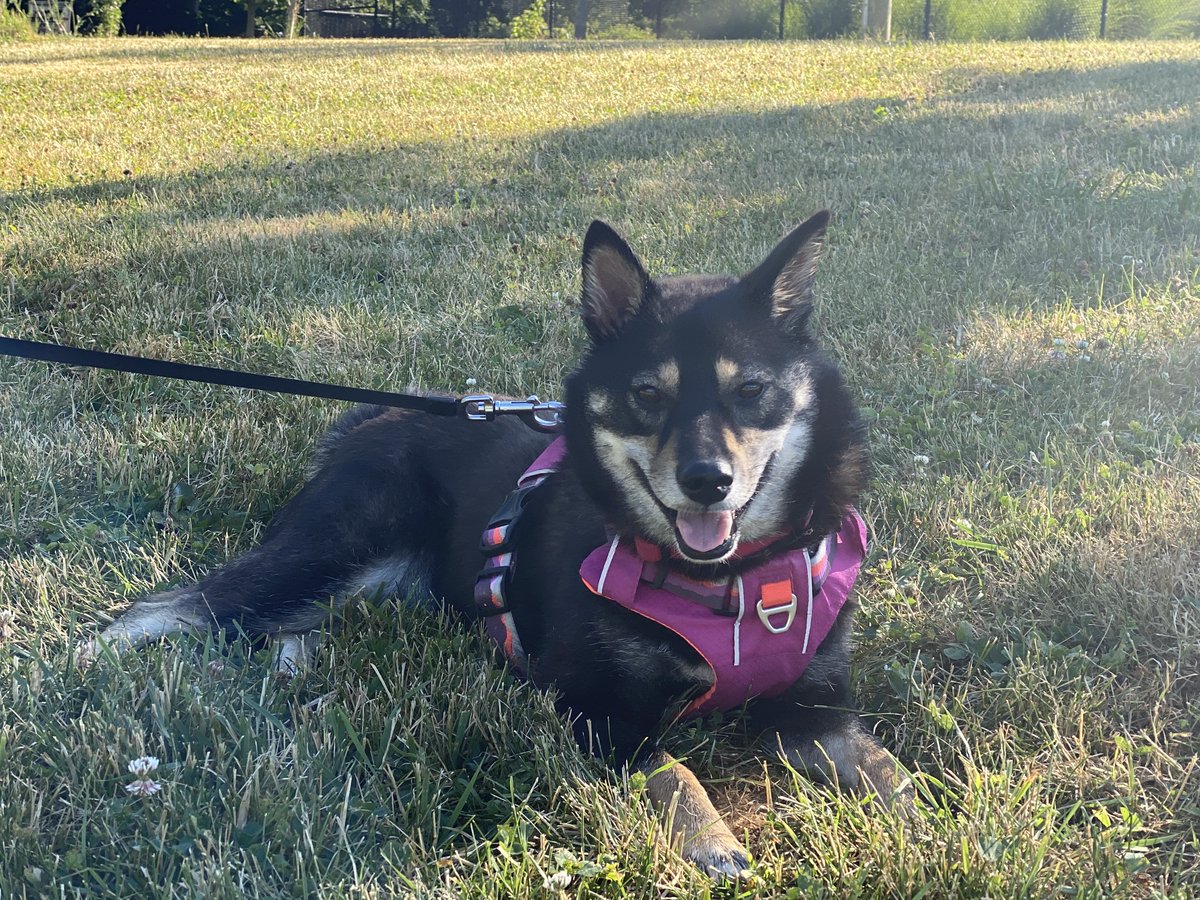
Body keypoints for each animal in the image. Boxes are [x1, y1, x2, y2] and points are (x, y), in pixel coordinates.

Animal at [84, 213, 907, 883]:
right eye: (647, 394)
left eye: (752, 390)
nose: (708, 481)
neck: (734, 583)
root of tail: (371, 422)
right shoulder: (596, 712)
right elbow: (676, 774)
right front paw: (715, 844)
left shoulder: (818, 712)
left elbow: (891, 772)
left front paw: (933, 820)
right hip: (331, 549)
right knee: (177, 605)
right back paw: (87, 660)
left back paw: (292, 667)